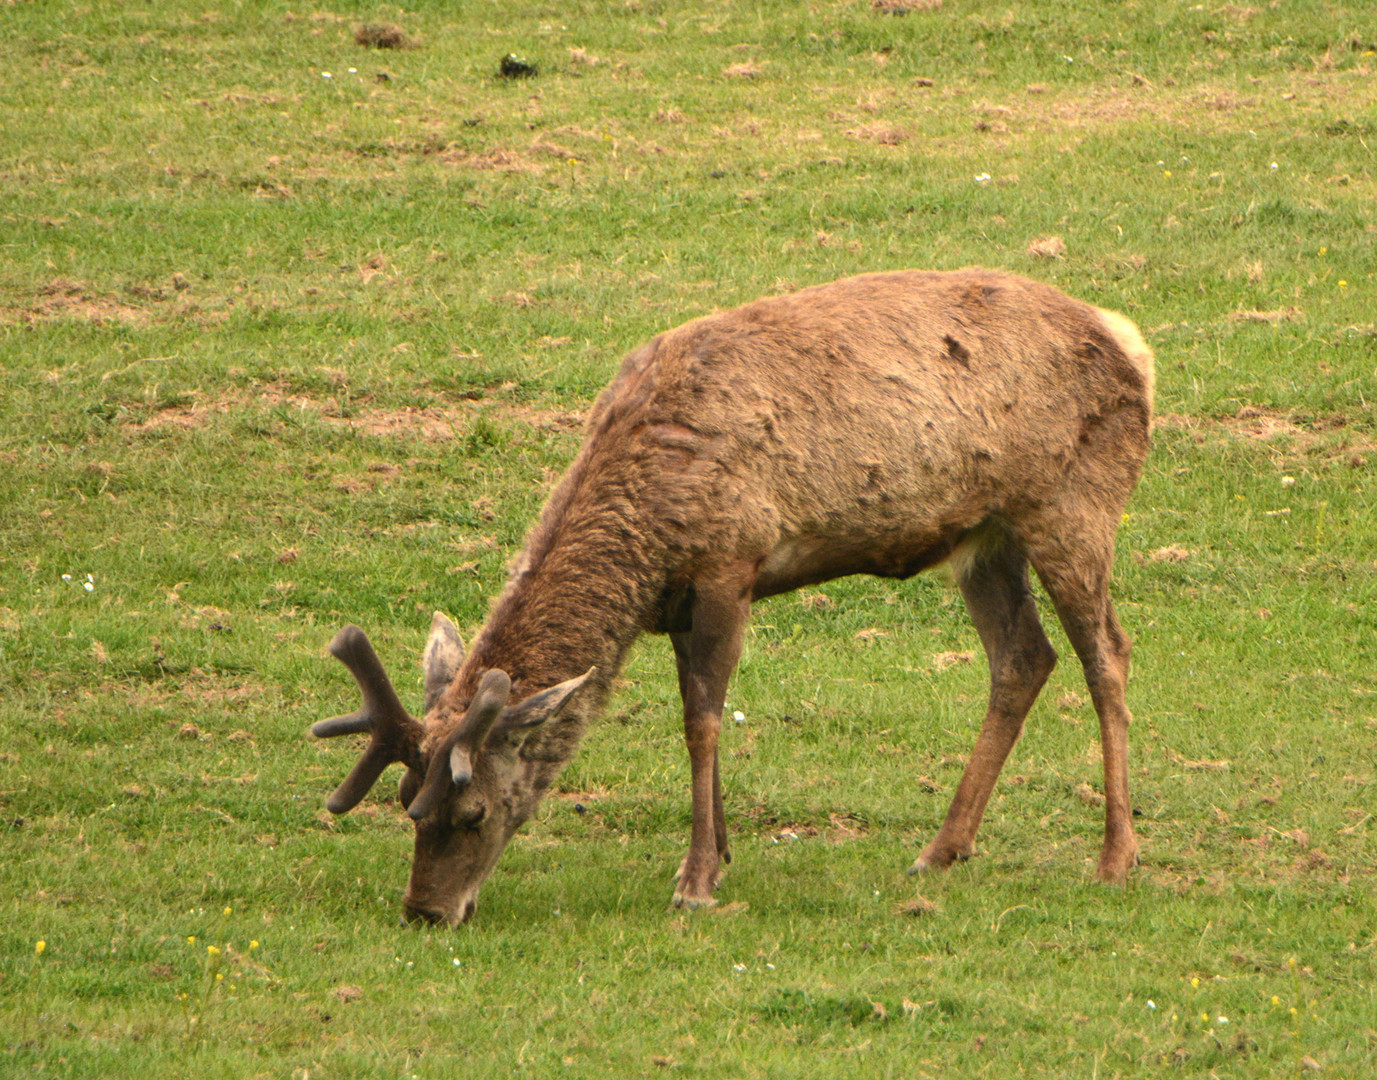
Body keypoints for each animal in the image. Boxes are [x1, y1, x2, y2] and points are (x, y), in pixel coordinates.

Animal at [309, 265, 1151, 925]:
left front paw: (694, 882)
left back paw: (1114, 858)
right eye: (405, 800)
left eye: (473, 810)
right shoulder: (677, 601)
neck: (647, 518)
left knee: (1106, 654)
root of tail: (1133, 345)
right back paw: (941, 850)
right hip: (984, 534)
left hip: (1072, 504)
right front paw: (718, 852)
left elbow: (702, 722)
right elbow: (695, 711)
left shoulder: (729, 562)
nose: (424, 910)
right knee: (1023, 657)